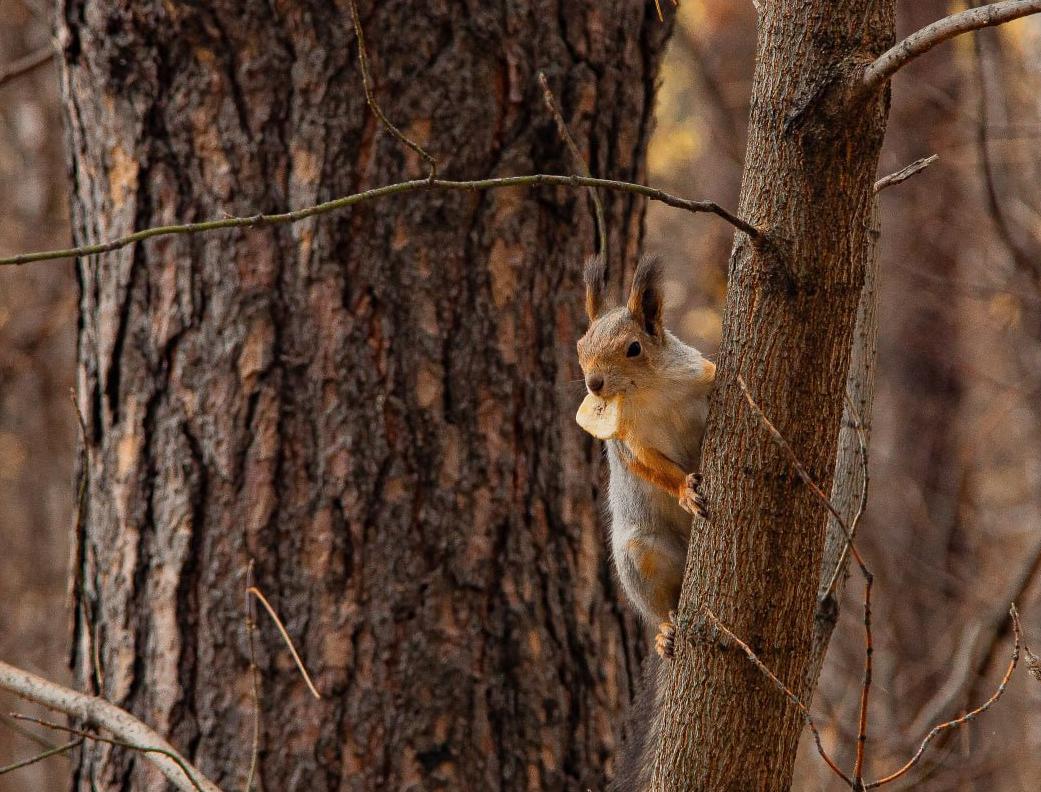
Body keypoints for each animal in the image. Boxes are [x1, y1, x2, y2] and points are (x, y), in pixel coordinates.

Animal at [578, 252, 716, 653]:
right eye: (580, 346)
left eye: (634, 348)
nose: (594, 384)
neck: (648, 391)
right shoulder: (630, 441)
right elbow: (649, 466)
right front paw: (686, 491)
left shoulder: (703, 375)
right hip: (641, 558)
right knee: (664, 604)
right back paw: (666, 633)